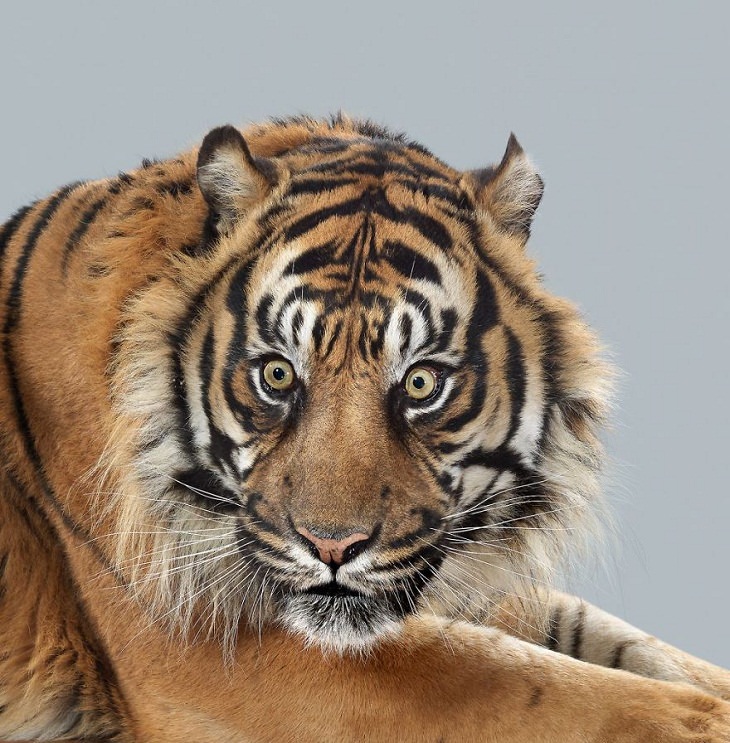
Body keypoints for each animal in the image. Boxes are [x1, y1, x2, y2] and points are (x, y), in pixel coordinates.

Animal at [1, 112, 728, 743]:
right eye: (276, 375)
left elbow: (619, 642)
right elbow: (537, 685)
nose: (332, 547)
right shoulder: (223, 651)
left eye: (421, 383)